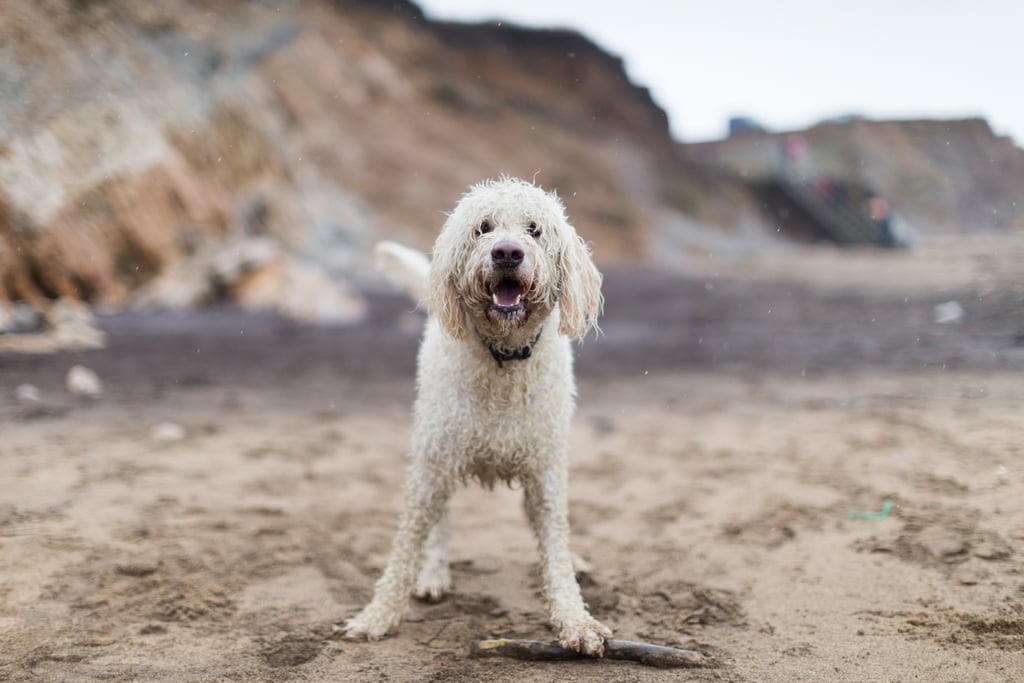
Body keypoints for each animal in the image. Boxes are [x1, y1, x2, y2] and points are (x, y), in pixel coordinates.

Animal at [344, 176, 614, 655]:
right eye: (483, 228)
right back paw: (433, 573)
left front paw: (574, 618)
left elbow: (554, 549)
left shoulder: (544, 473)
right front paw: (379, 614)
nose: (507, 252)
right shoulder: (431, 468)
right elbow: (406, 547)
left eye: (534, 229)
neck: (503, 358)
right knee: (441, 523)